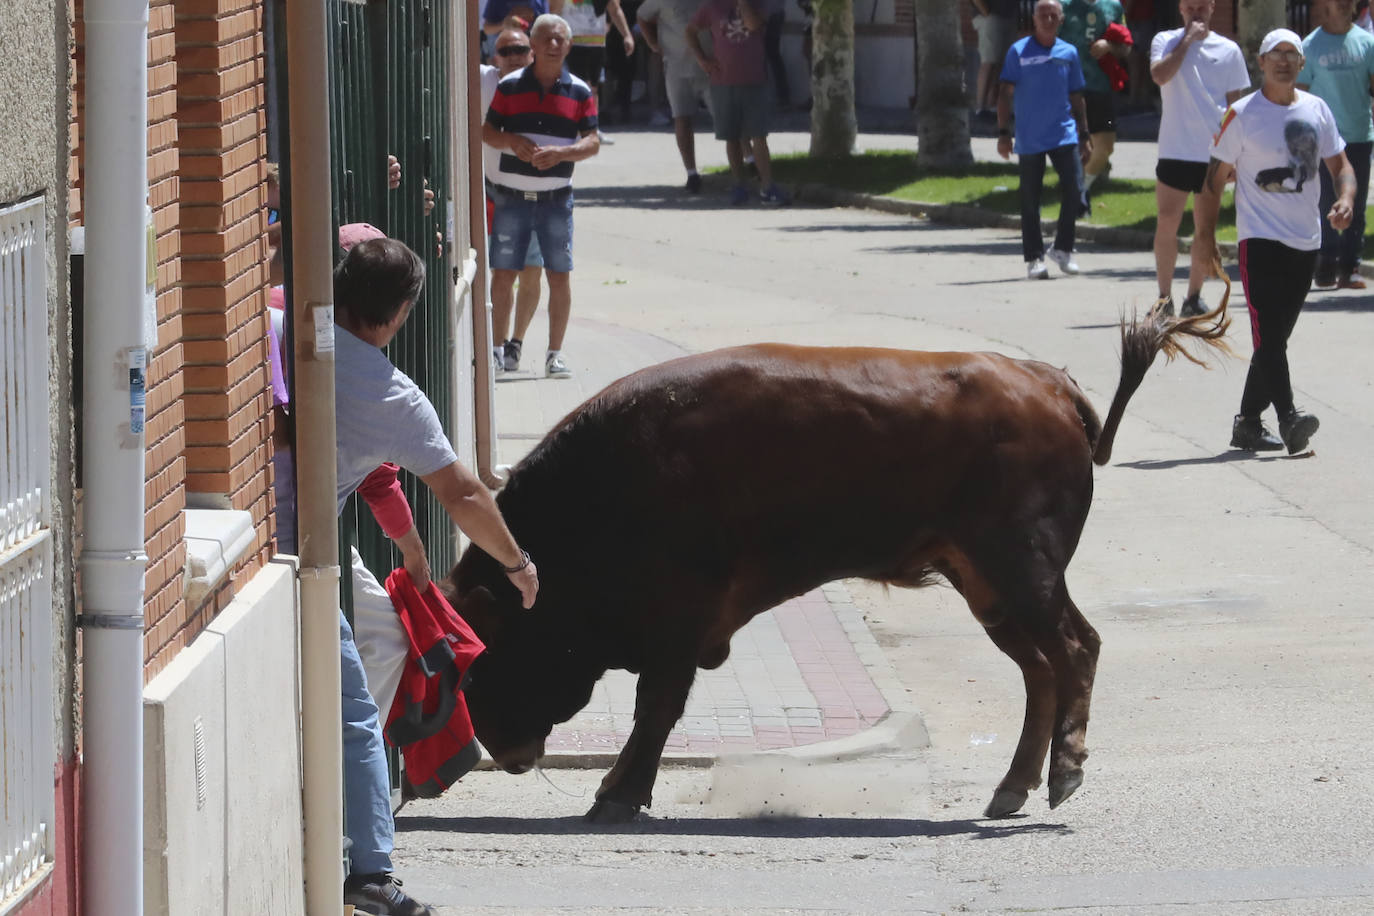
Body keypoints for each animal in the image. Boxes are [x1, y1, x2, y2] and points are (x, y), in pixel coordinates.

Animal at [445, 306, 1231, 823]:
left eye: (480, 662)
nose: (503, 750)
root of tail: (1046, 382)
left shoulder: (679, 624)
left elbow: (655, 708)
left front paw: (615, 795)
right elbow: (656, 708)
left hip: (1022, 569)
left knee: (1076, 647)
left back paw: (1065, 773)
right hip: (987, 587)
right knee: (1042, 668)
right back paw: (1010, 789)